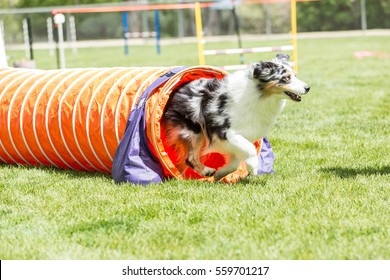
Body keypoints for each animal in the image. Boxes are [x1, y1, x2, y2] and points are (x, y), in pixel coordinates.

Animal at [161, 53, 310, 180]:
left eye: (295, 75)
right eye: (286, 78)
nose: (307, 88)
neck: (259, 96)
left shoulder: (237, 139)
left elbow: (234, 163)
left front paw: (220, 175)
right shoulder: (226, 132)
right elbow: (250, 149)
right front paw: (253, 167)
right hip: (194, 129)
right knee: (190, 158)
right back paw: (206, 171)